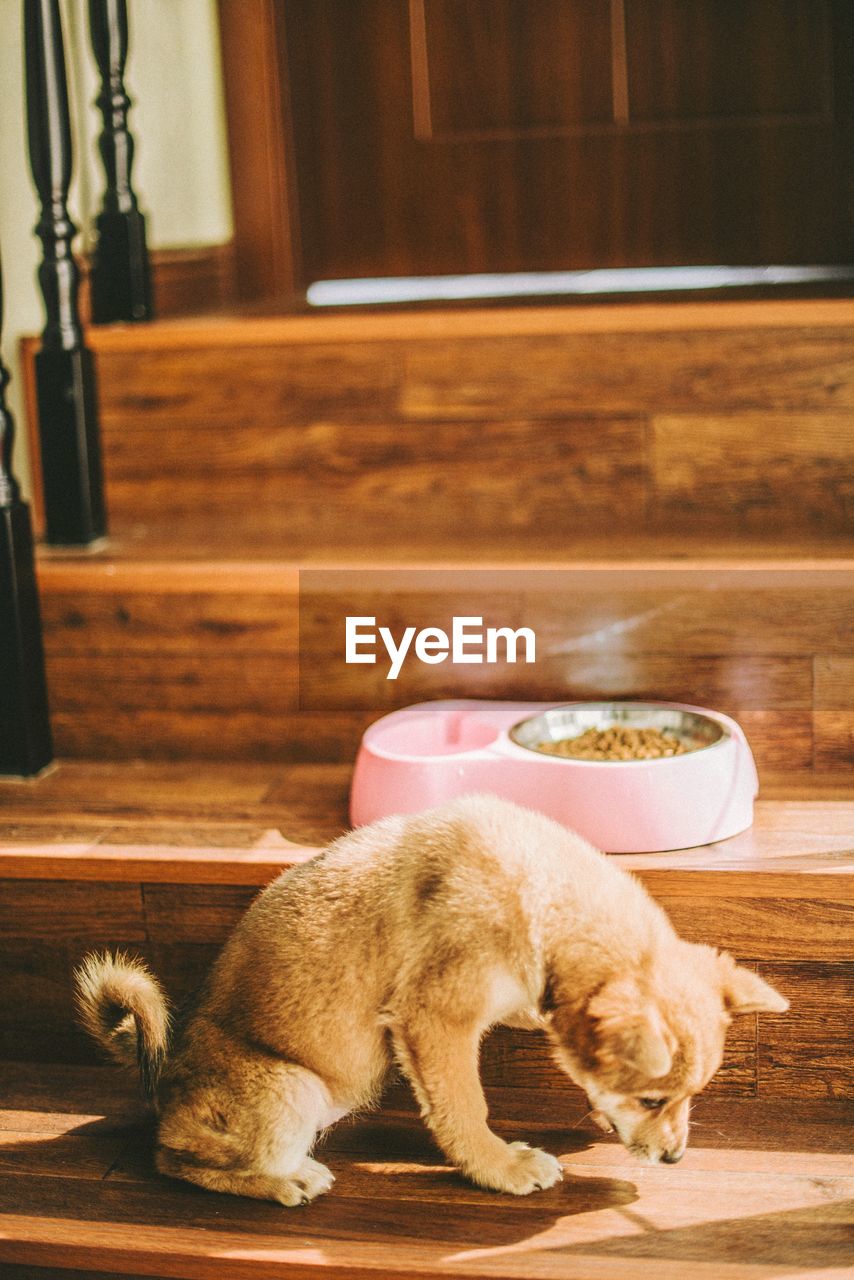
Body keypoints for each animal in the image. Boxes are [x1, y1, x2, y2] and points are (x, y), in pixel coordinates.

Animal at [76, 793, 793, 1203]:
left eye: (692, 1095)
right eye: (651, 1100)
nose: (675, 1158)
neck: (544, 898)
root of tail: (163, 1084)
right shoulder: (434, 1020)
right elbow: (464, 1109)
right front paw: (500, 1168)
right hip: (290, 1089)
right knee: (174, 1162)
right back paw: (287, 1181)